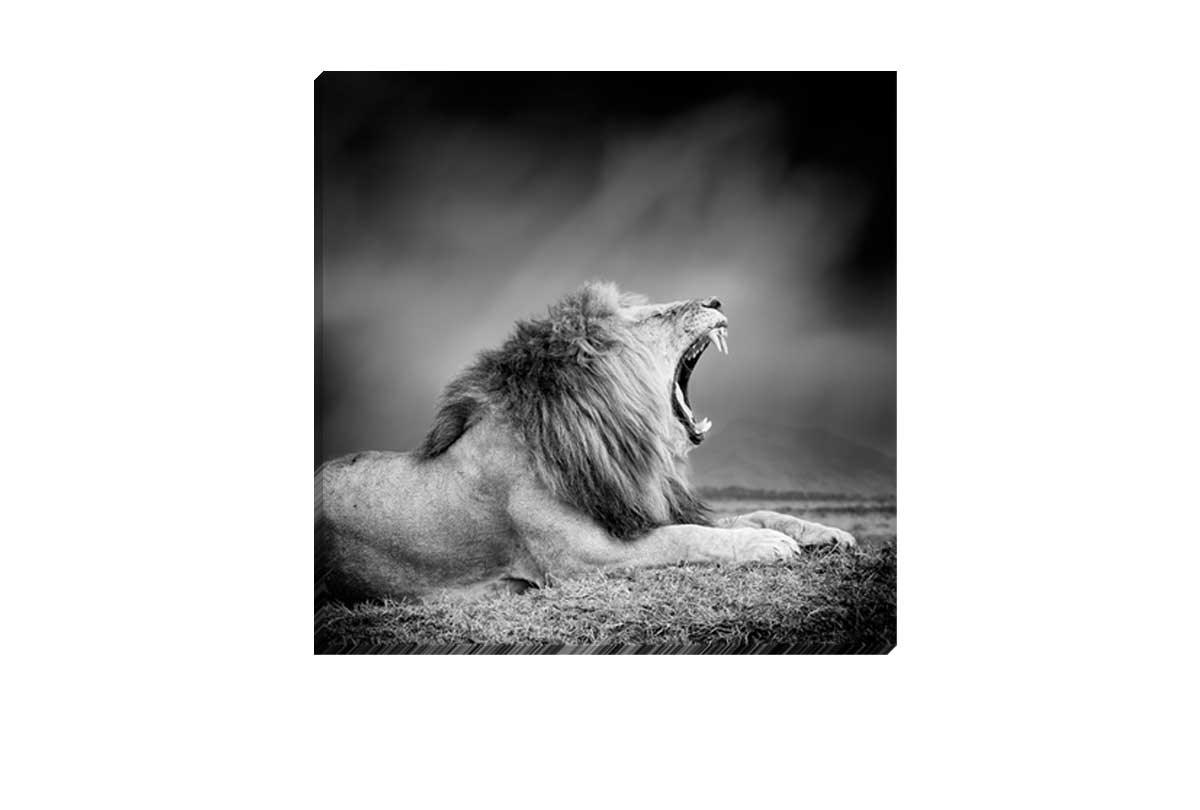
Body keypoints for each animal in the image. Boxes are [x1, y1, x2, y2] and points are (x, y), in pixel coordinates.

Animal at [315, 282, 855, 603]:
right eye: (653, 317)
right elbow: (688, 536)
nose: (716, 302)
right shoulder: (581, 558)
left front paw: (825, 532)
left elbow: (753, 513)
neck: (612, 440)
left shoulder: (636, 510)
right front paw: (767, 545)